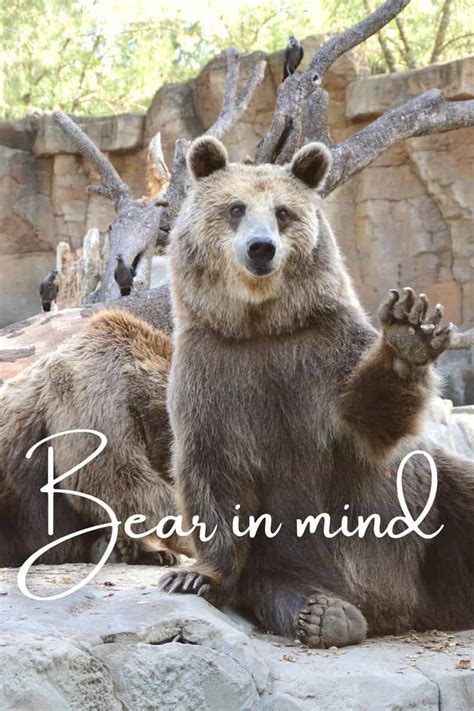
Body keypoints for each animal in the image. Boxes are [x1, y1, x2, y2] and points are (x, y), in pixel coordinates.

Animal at [161, 135, 474, 648]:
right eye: (235, 208)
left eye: (283, 212)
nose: (261, 248)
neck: (261, 326)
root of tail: (400, 610)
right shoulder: (213, 373)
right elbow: (213, 469)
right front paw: (194, 575)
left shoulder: (322, 354)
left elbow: (370, 419)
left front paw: (409, 330)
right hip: (285, 559)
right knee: (280, 584)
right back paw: (327, 614)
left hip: (435, 502)